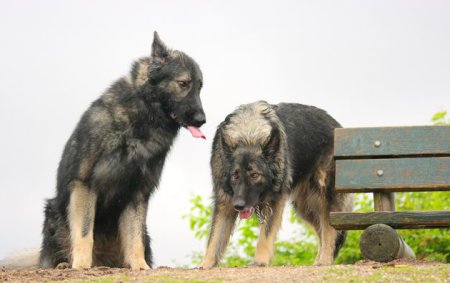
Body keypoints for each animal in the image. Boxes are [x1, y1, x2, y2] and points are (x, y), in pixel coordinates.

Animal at [39, 32, 207, 270]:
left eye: (200, 87)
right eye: (183, 84)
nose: (203, 120)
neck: (141, 120)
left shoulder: (138, 194)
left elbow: (134, 238)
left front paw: (140, 266)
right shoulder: (84, 185)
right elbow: (84, 232)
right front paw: (81, 265)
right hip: (54, 212)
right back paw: (64, 265)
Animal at [200, 101, 352, 268]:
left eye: (254, 175)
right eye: (235, 175)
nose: (238, 205)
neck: (248, 136)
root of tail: (336, 124)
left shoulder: (273, 201)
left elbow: (265, 235)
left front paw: (260, 260)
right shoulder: (225, 201)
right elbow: (215, 236)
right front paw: (205, 264)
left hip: (323, 196)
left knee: (329, 229)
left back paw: (324, 260)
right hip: (305, 206)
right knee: (321, 230)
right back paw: (320, 259)